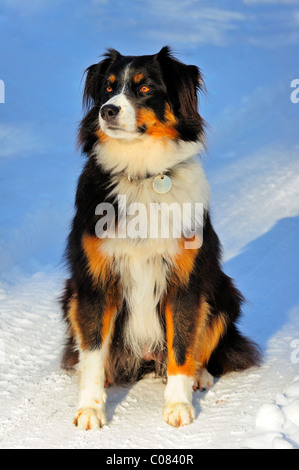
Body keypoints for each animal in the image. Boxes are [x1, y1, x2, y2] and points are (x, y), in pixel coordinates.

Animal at [61, 46, 262, 430]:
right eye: (108, 89)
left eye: (144, 88)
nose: (108, 111)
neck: (141, 173)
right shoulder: (94, 280)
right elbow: (93, 352)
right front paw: (91, 409)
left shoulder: (185, 280)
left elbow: (182, 345)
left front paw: (178, 405)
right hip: (69, 294)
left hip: (222, 292)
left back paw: (199, 376)